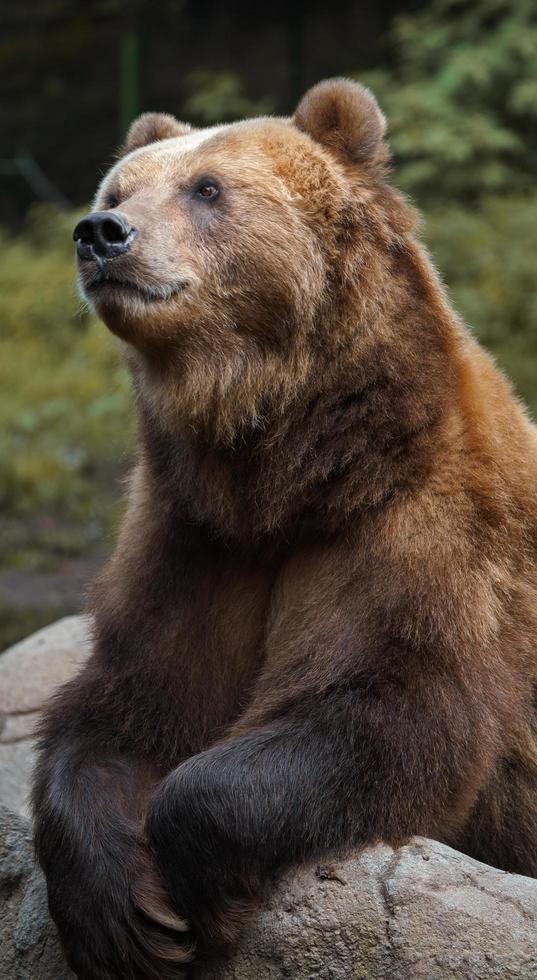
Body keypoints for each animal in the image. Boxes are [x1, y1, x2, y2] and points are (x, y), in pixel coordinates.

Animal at [31, 80, 536, 980]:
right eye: (117, 189)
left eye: (207, 189)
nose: (101, 235)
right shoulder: (194, 541)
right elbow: (126, 705)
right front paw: (121, 915)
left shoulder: (416, 531)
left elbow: (393, 710)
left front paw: (196, 893)